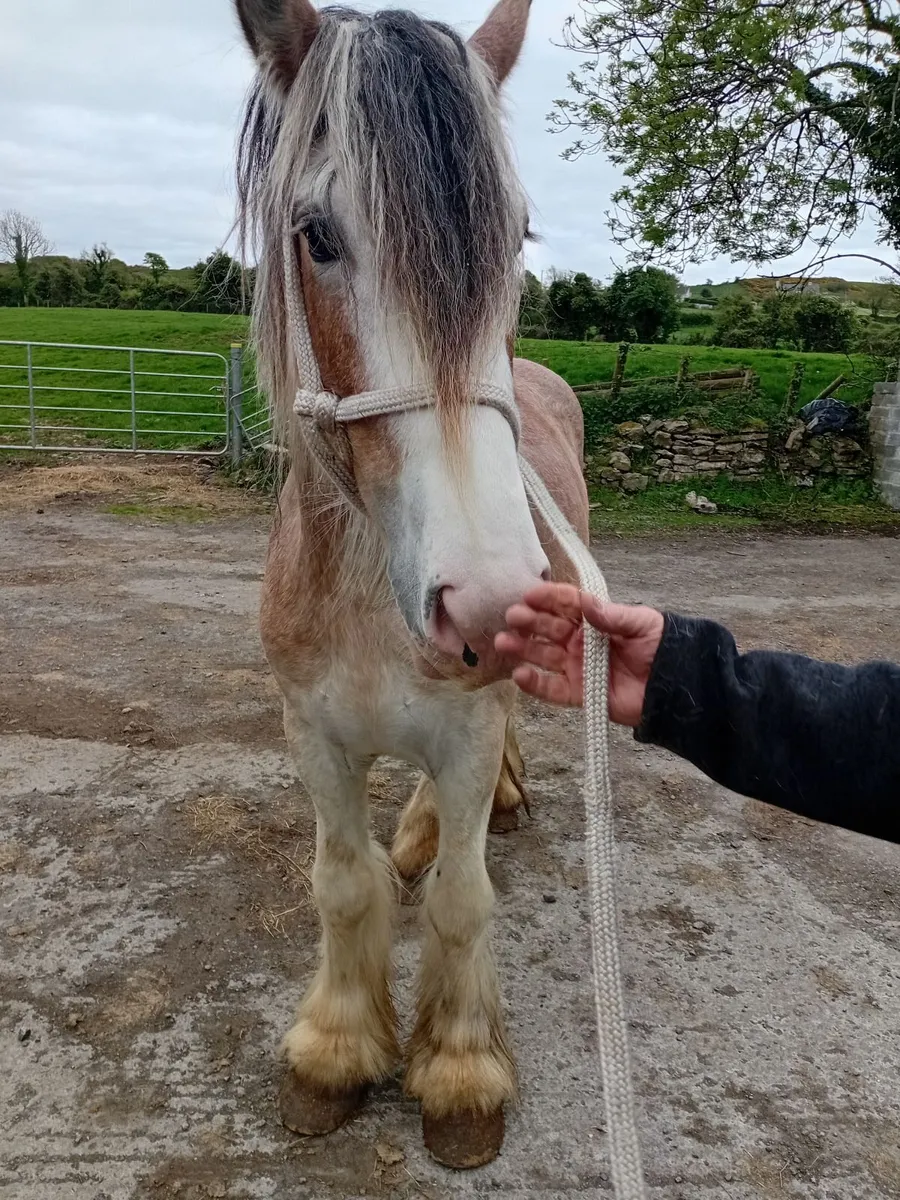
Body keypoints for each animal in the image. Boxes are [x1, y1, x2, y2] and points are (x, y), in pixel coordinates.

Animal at [235, 0, 589, 1168]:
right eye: (316, 234)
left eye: (513, 236)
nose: (490, 601)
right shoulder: (312, 732)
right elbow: (345, 886)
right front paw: (335, 1053)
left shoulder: (468, 723)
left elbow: (462, 900)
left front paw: (460, 1072)